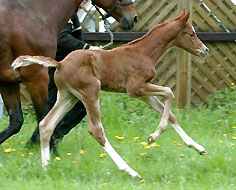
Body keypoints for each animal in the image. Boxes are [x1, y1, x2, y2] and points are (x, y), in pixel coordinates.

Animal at [0, 0, 136, 146]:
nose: (133, 17)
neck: (34, 14)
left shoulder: (8, 82)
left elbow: (16, 122)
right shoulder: (36, 78)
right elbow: (44, 118)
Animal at [12, 9, 208, 177]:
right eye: (191, 34)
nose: (205, 50)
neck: (143, 52)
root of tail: (59, 64)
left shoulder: (143, 91)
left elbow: (169, 112)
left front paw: (197, 147)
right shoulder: (134, 88)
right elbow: (169, 92)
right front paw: (154, 136)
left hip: (68, 96)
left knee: (46, 125)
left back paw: (46, 168)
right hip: (90, 91)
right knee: (96, 130)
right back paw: (129, 170)